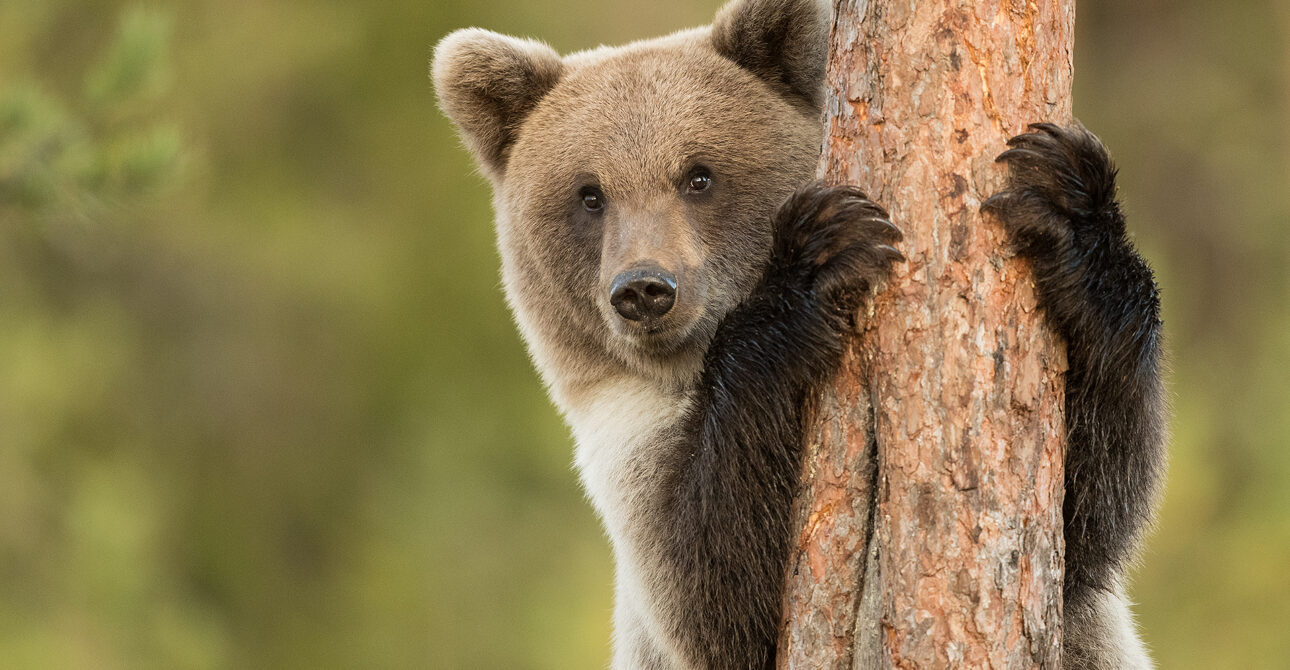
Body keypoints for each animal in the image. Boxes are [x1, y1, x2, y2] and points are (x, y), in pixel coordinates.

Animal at [431, 0, 1165, 667]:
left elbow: (1083, 516)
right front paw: (816, 259)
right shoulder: (630, 461)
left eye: (698, 175)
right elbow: (723, 589)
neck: (683, 368)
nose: (644, 289)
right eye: (589, 194)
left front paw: (1062, 199)